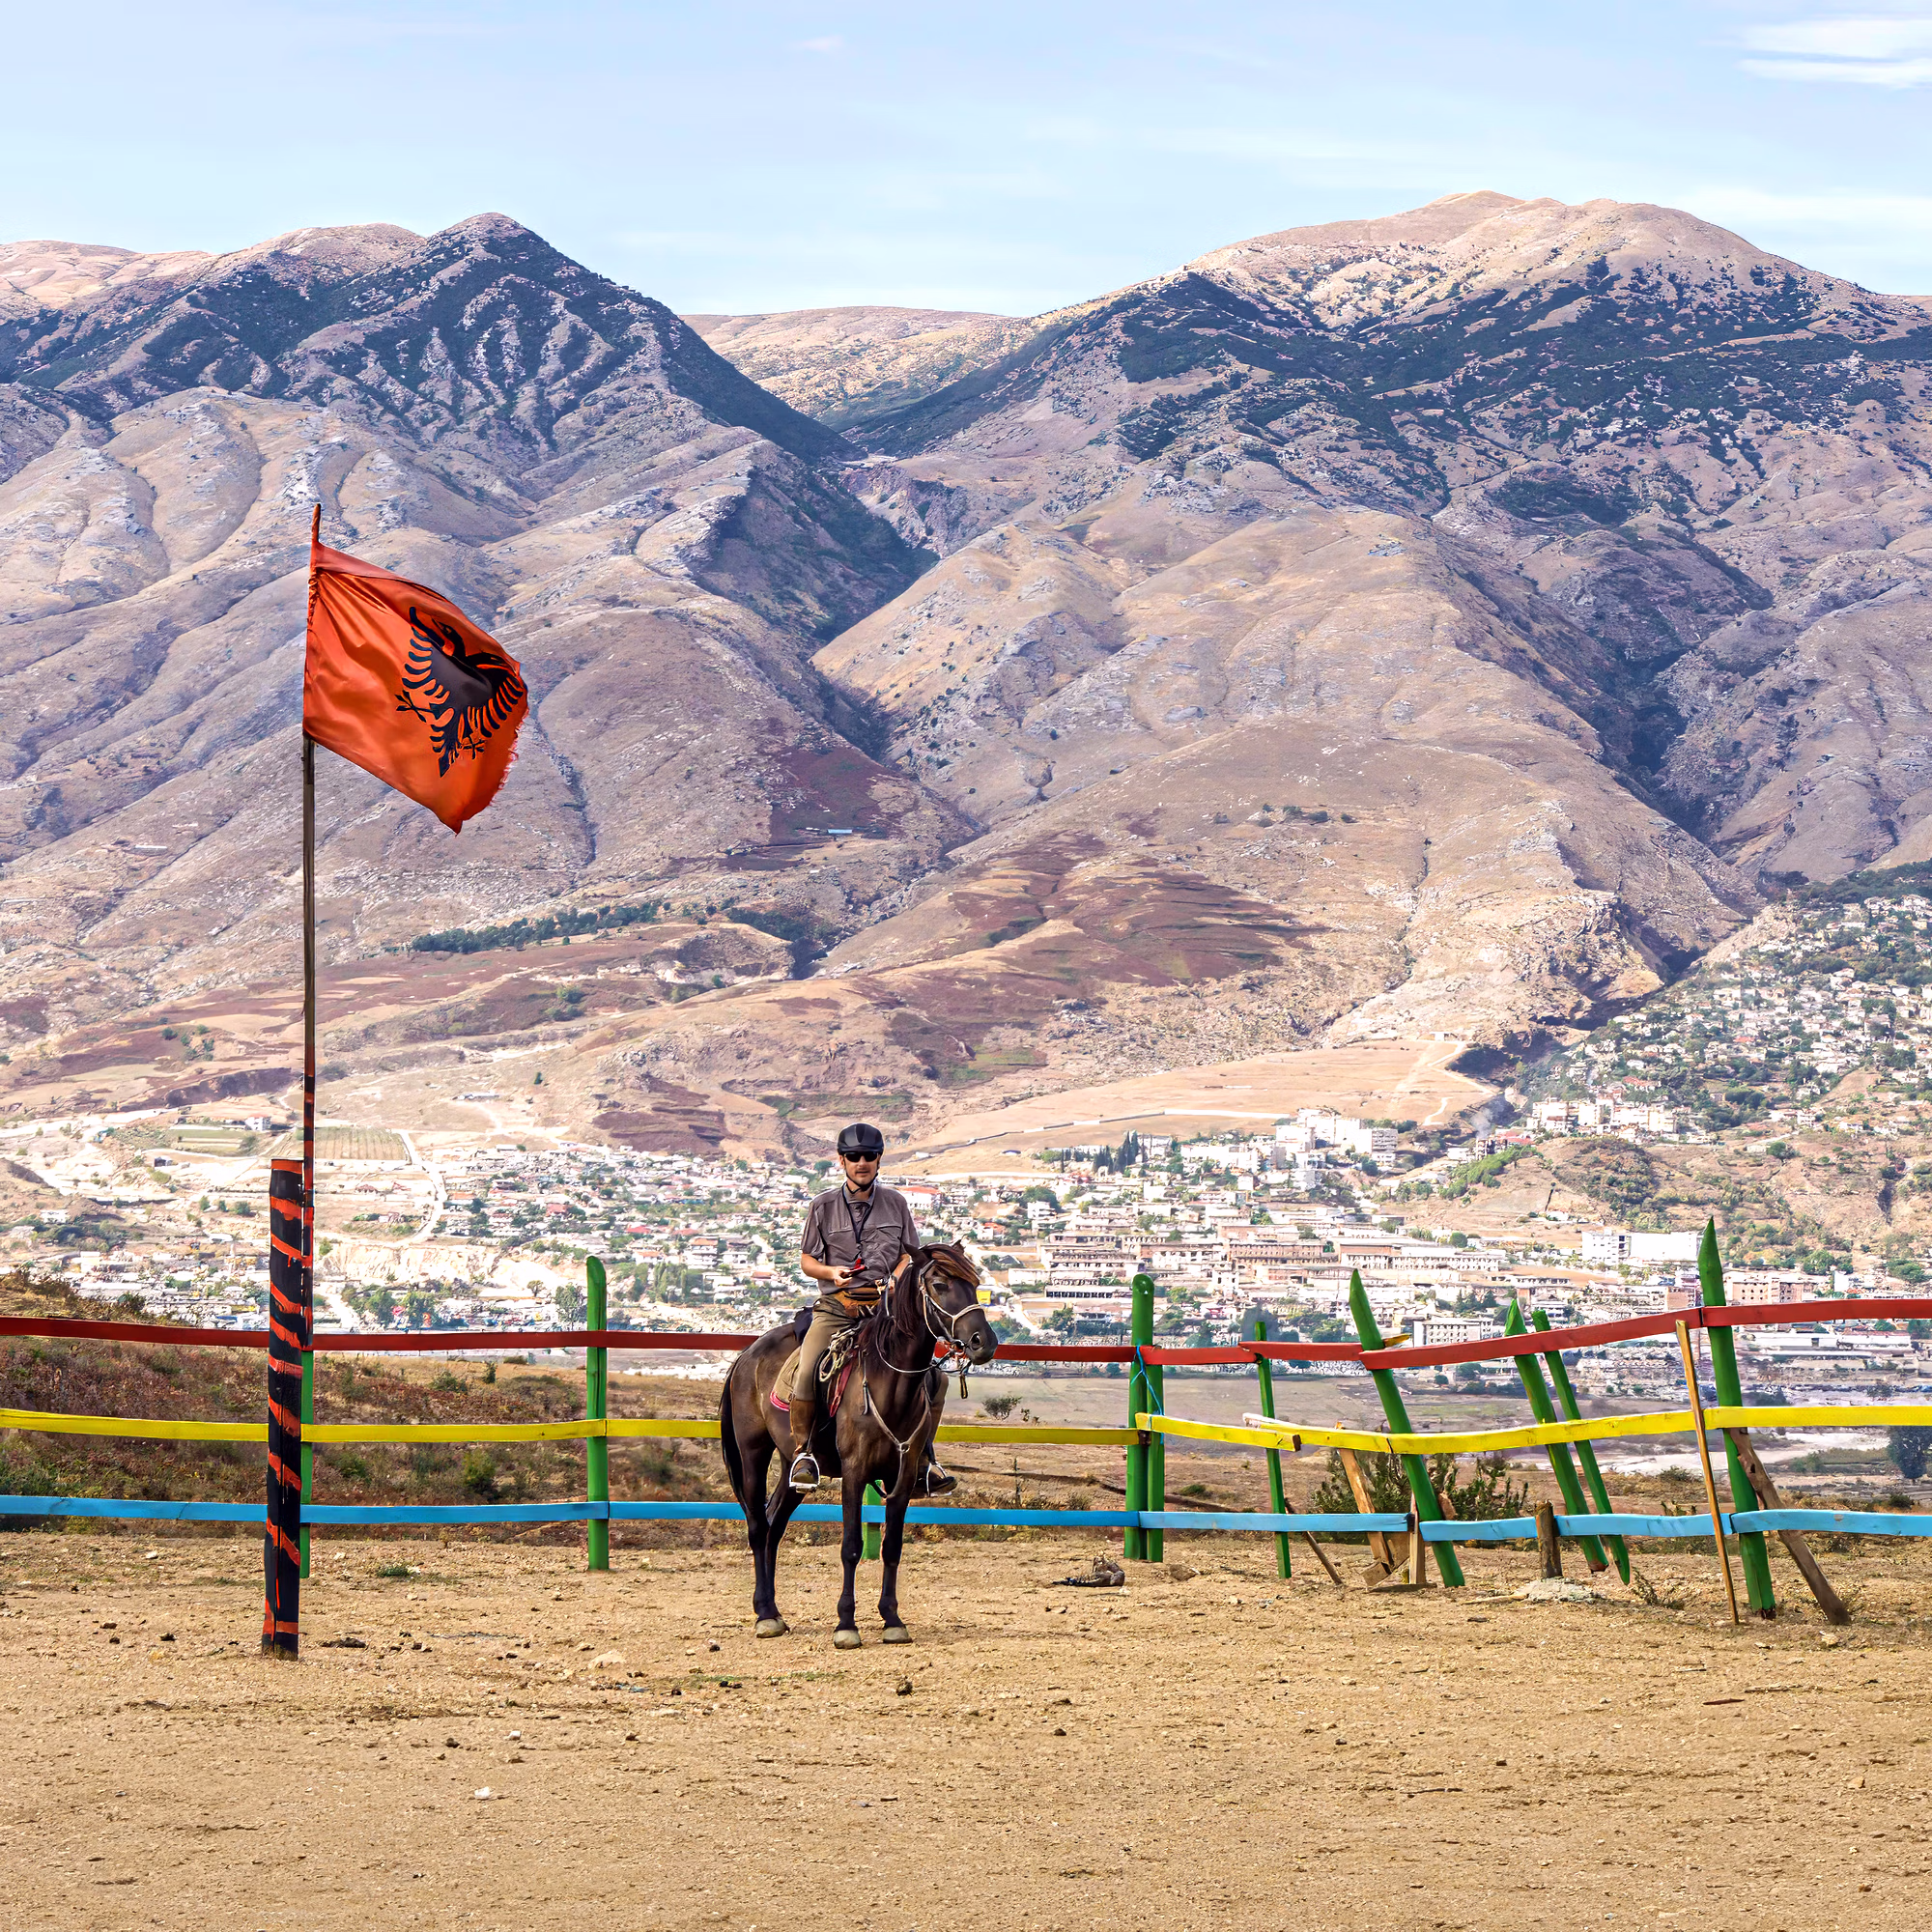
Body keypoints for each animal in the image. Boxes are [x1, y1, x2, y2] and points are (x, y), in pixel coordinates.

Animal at [719, 1241, 997, 1647]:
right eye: (940, 1284)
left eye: (975, 1284)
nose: (983, 1343)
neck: (890, 1384)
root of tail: (746, 1355)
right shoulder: (854, 1472)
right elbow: (850, 1547)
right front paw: (846, 1624)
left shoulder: (902, 1478)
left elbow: (892, 1547)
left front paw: (892, 1619)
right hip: (753, 1452)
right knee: (757, 1526)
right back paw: (765, 1616)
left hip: (793, 1467)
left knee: (773, 1526)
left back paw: (771, 1610)